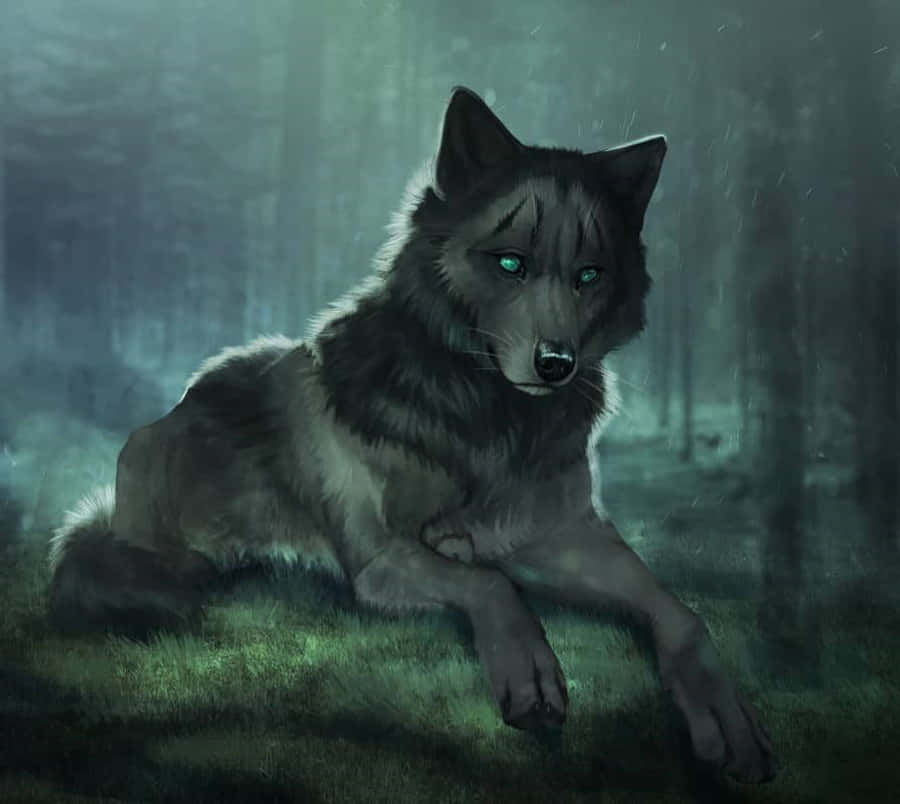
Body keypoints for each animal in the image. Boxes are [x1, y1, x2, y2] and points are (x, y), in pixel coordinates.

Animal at [48, 87, 775, 783]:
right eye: (510, 263)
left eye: (590, 275)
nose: (557, 365)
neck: (492, 421)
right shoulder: (381, 557)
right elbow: (491, 584)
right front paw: (530, 676)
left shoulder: (564, 535)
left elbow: (676, 610)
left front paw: (727, 717)